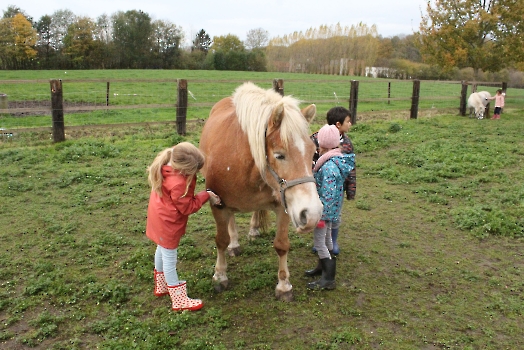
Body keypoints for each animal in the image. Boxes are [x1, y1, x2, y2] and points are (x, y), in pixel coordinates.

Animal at [200, 82, 324, 300]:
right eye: (279, 155)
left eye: (312, 152)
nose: (312, 214)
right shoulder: (217, 204)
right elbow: (221, 241)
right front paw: (220, 275)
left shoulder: (284, 206)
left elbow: (281, 245)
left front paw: (284, 286)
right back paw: (234, 244)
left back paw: (254, 229)